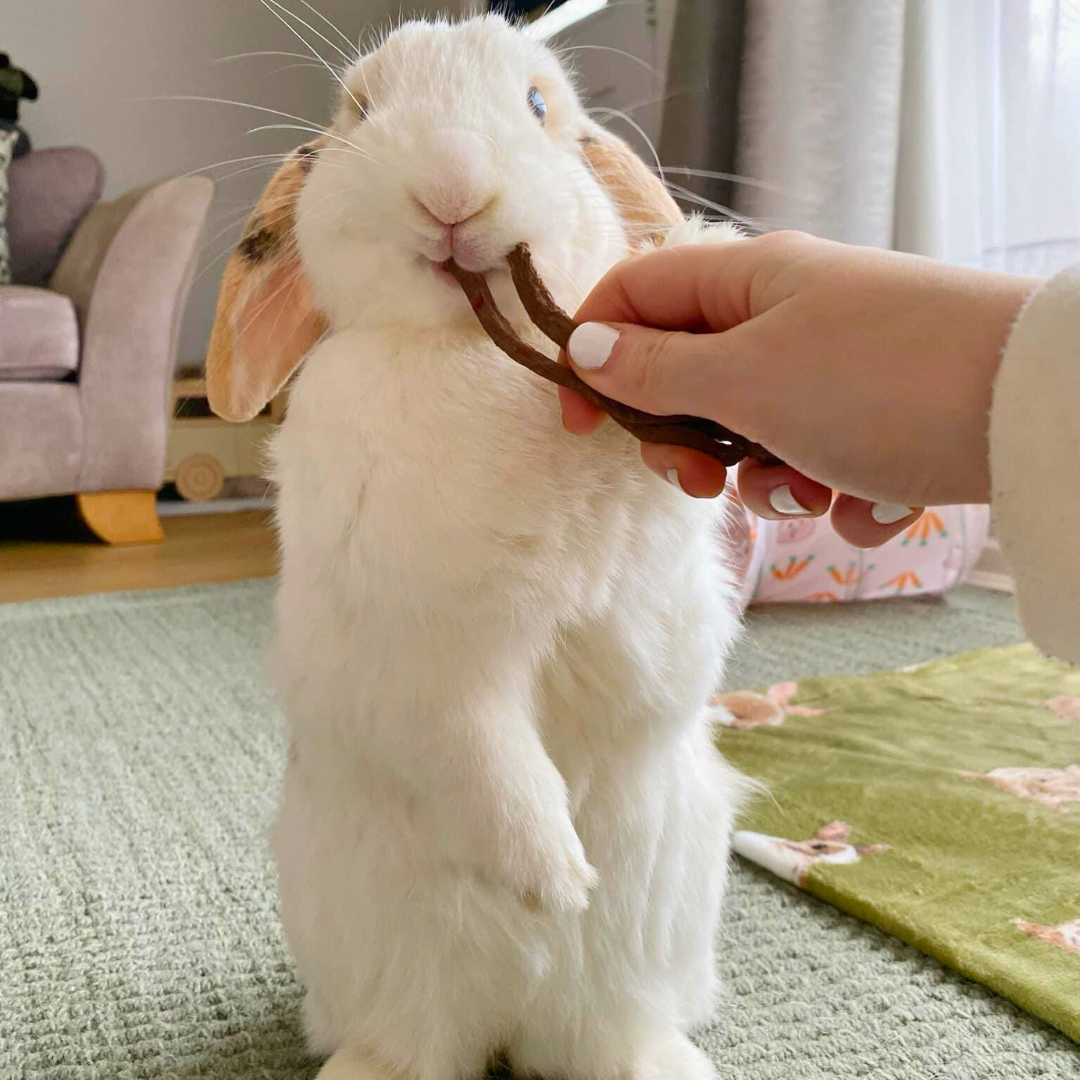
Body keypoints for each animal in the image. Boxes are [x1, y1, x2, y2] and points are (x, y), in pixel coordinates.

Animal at [206, 15, 750, 1080]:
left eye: (539, 105)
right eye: (360, 109)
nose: (451, 186)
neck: (467, 344)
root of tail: (511, 1027)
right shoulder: (419, 657)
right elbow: (479, 751)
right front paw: (556, 878)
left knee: (614, 1037)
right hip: (390, 966)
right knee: (409, 1045)